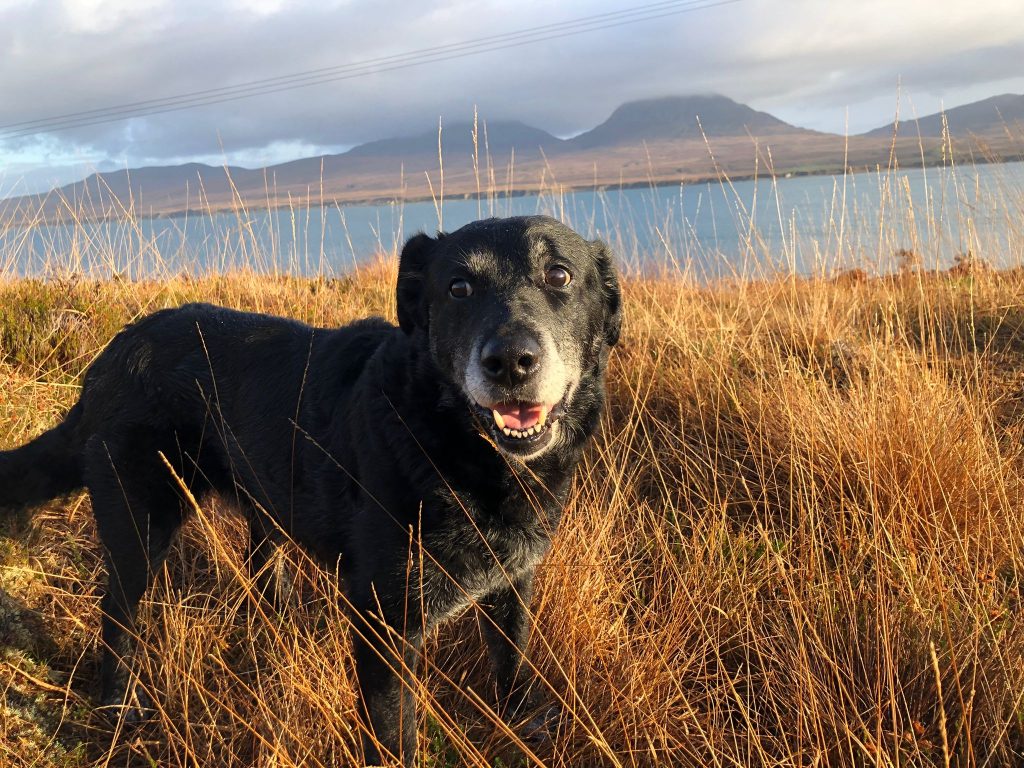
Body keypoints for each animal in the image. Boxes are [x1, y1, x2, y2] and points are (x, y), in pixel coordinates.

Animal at [0, 214, 618, 765]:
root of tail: (108, 357)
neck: (448, 442)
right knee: (117, 614)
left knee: (263, 575)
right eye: (458, 287)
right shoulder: (385, 626)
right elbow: (394, 737)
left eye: (559, 275)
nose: (510, 362)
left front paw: (523, 727)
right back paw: (117, 708)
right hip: (141, 522)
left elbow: (512, 663)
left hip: (265, 510)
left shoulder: (512, 584)